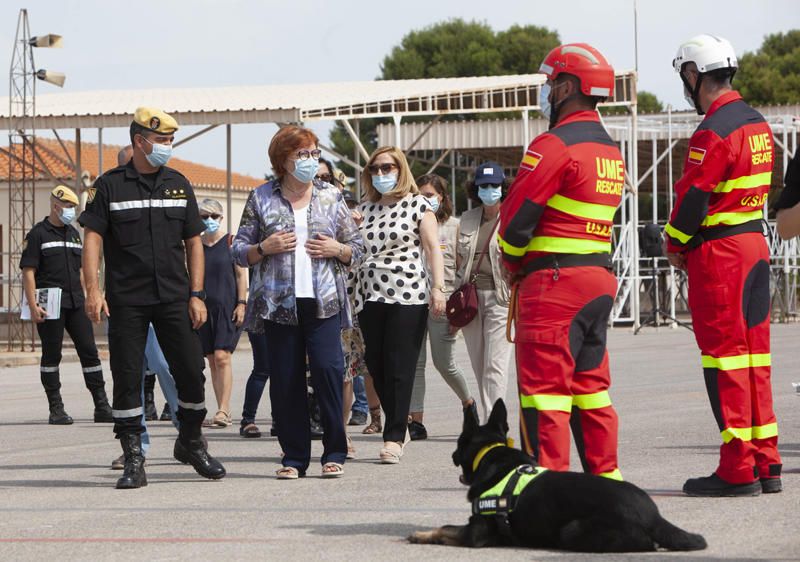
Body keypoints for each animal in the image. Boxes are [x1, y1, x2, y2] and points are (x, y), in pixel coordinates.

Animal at [410, 398, 704, 552]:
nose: (452, 456)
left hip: (571, 530)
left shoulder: (475, 535)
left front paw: (421, 535)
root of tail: (653, 515)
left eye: (458, 446)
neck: (492, 454)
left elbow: (446, 527)